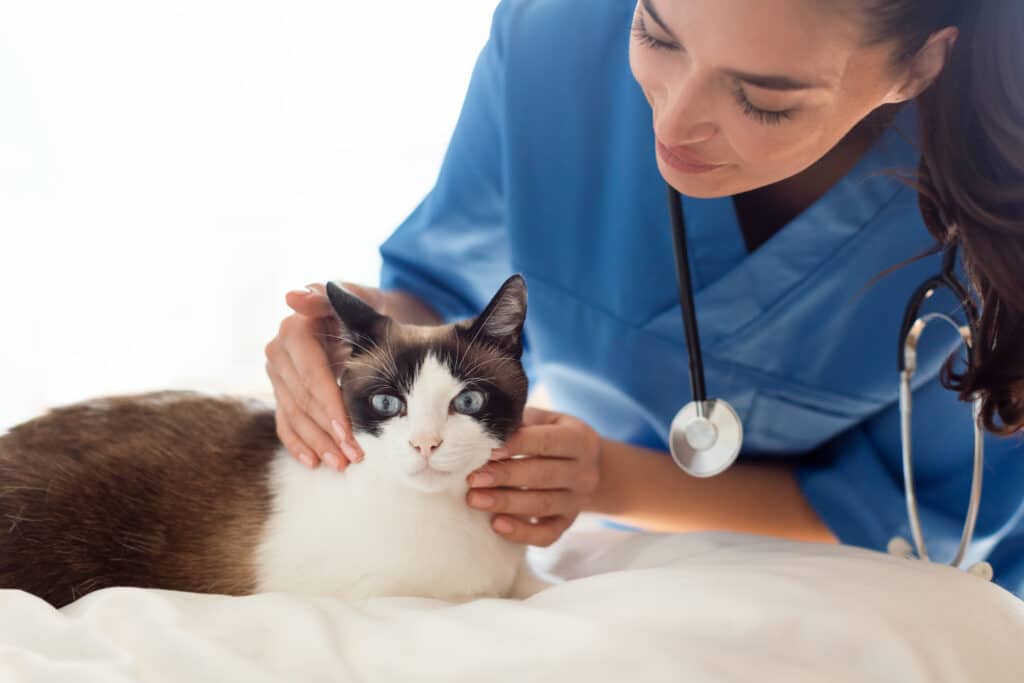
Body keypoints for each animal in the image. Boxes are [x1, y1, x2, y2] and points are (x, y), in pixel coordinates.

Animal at [0, 274, 552, 606]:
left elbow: (541, 585)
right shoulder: (393, 598)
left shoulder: (515, 580)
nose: (425, 444)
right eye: (387, 404)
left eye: (469, 402)